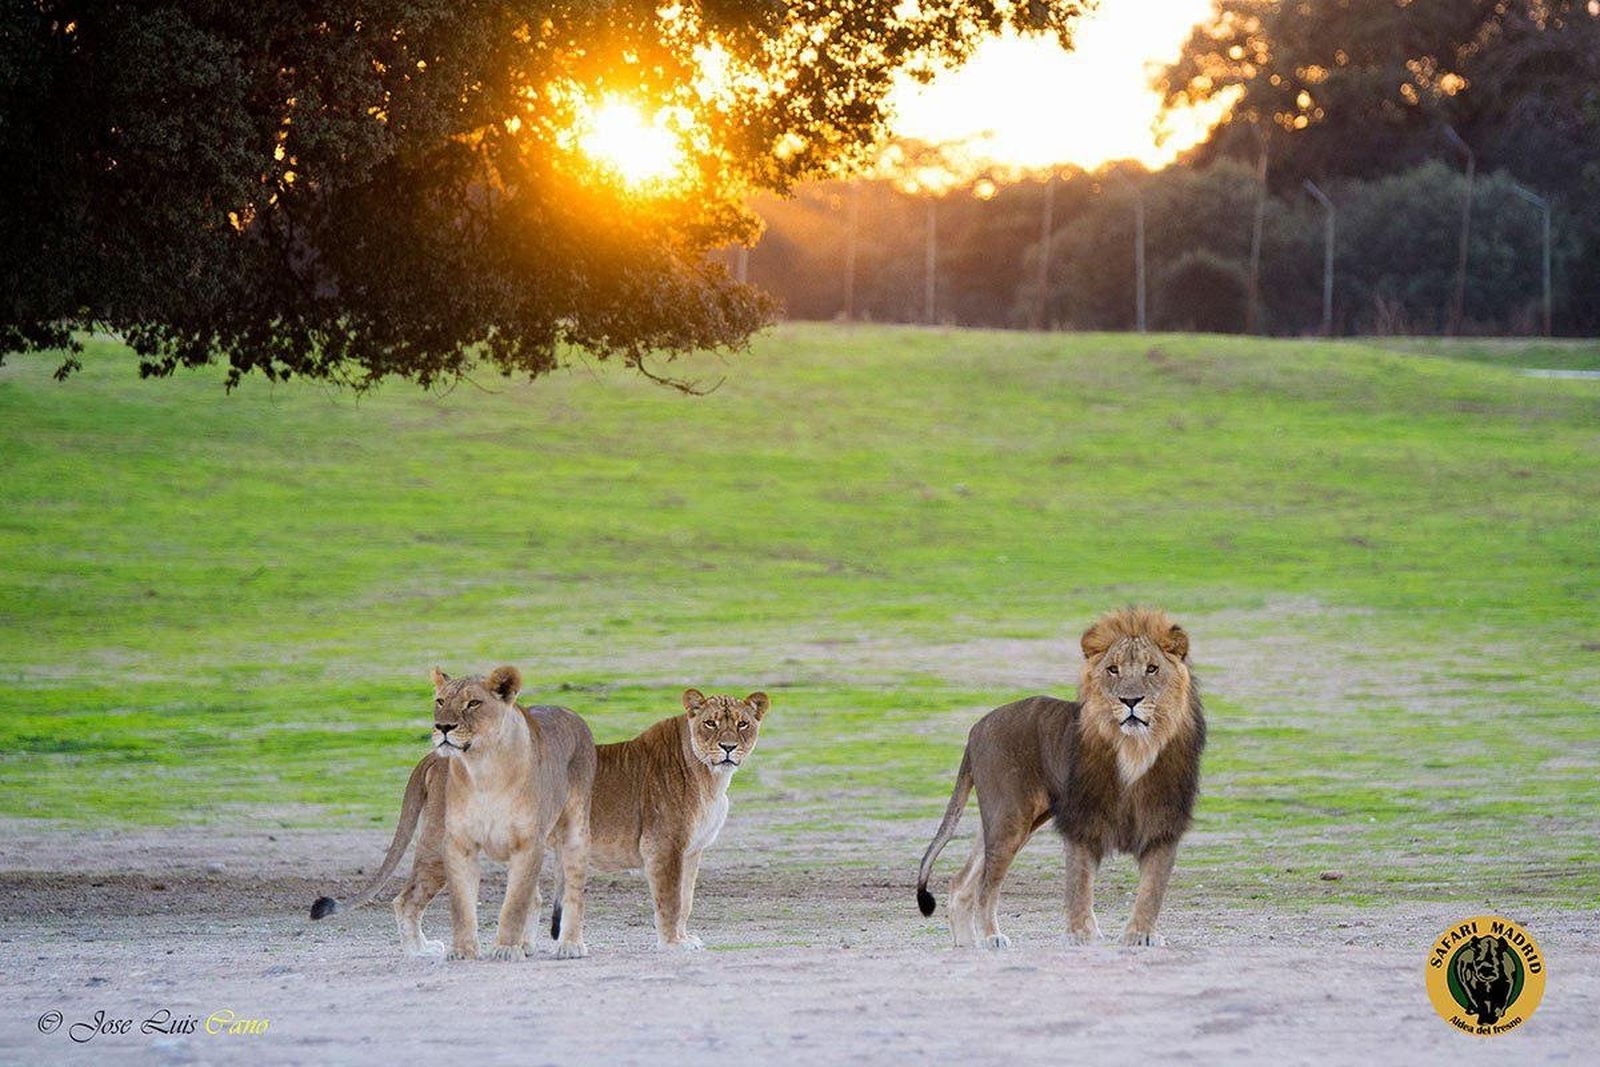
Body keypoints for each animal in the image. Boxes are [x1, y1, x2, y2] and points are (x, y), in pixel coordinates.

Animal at [310, 666, 596, 961]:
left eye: (473, 703)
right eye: (440, 701)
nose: (443, 727)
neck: (484, 769)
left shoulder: (528, 843)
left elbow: (515, 902)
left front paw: (506, 949)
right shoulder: (458, 842)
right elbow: (462, 904)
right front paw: (463, 951)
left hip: (574, 831)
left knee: (571, 891)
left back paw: (569, 945)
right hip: (436, 843)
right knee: (406, 899)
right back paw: (419, 952)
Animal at [548, 688, 769, 949]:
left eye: (742, 724)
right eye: (710, 723)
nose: (728, 747)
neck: (711, 780)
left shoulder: (692, 851)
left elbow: (686, 898)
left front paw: (684, 937)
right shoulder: (663, 845)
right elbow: (671, 898)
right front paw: (672, 943)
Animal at [915, 607, 1206, 949]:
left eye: (1152, 669)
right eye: (1113, 670)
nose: (1131, 701)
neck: (1135, 749)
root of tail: (976, 728)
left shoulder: (1163, 823)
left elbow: (1152, 888)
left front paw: (1142, 935)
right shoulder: (1082, 821)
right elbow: (1080, 884)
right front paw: (1083, 934)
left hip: (1012, 820)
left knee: (962, 881)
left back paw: (966, 943)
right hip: (1009, 819)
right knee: (987, 885)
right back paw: (990, 937)